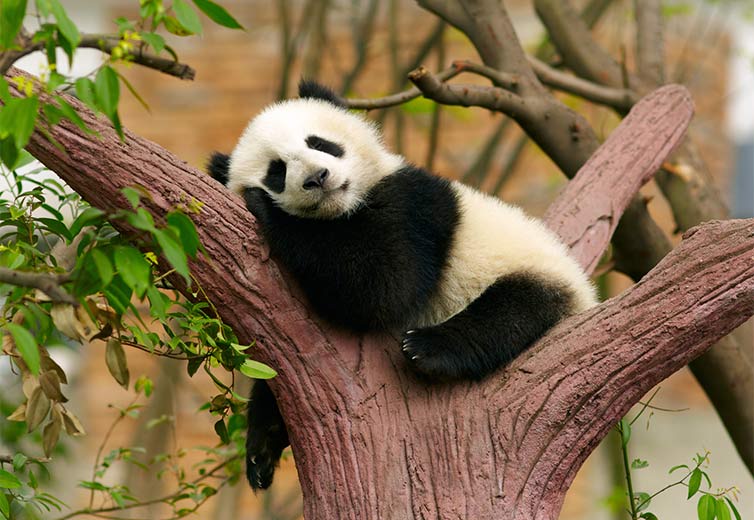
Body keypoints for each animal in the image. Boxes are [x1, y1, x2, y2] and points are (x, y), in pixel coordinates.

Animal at [208, 80, 597, 490]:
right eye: (277, 171)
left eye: (320, 143)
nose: (317, 177)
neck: (342, 210)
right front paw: (262, 444)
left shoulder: (413, 206)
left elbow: (385, 286)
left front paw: (266, 209)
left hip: (532, 271)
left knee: (512, 310)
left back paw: (429, 348)